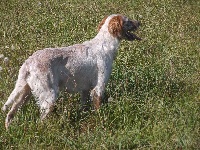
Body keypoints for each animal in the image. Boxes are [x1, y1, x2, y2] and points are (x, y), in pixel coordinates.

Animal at [2, 14, 141, 129]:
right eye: (128, 21)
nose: (139, 22)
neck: (105, 44)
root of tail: (28, 63)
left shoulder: (85, 90)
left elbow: (83, 106)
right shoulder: (99, 87)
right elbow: (98, 109)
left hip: (25, 93)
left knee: (10, 113)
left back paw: (8, 130)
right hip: (49, 96)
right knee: (40, 121)